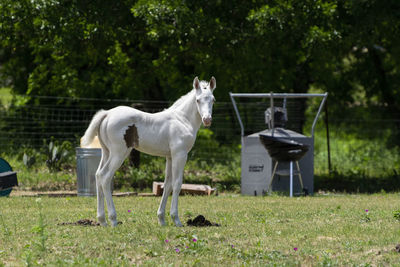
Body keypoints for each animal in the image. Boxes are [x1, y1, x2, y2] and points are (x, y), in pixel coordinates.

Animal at [80, 76, 216, 227]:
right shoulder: (180, 155)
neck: (182, 120)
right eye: (198, 100)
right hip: (119, 153)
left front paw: (161, 219)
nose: (207, 119)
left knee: (98, 175)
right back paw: (113, 219)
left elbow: (167, 185)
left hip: (106, 152)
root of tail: (107, 114)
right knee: (105, 176)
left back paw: (102, 220)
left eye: (213, 99)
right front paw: (176, 219)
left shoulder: (169, 157)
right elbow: (177, 184)